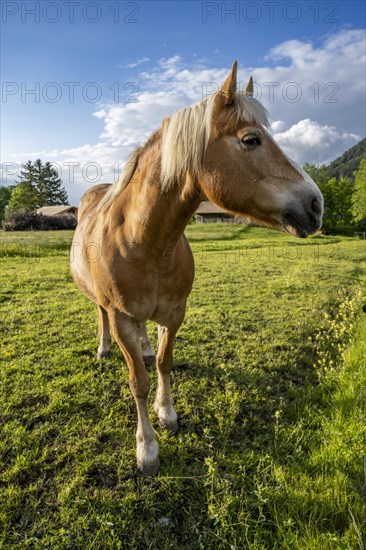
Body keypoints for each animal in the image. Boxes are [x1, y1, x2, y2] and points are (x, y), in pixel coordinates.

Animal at [71, 59, 324, 474]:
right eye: (251, 139)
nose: (316, 204)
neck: (143, 243)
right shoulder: (122, 318)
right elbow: (138, 382)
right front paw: (147, 449)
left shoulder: (175, 314)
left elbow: (163, 362)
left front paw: (168, 413)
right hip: (104, 305)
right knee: (101, 314)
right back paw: (104, 348)